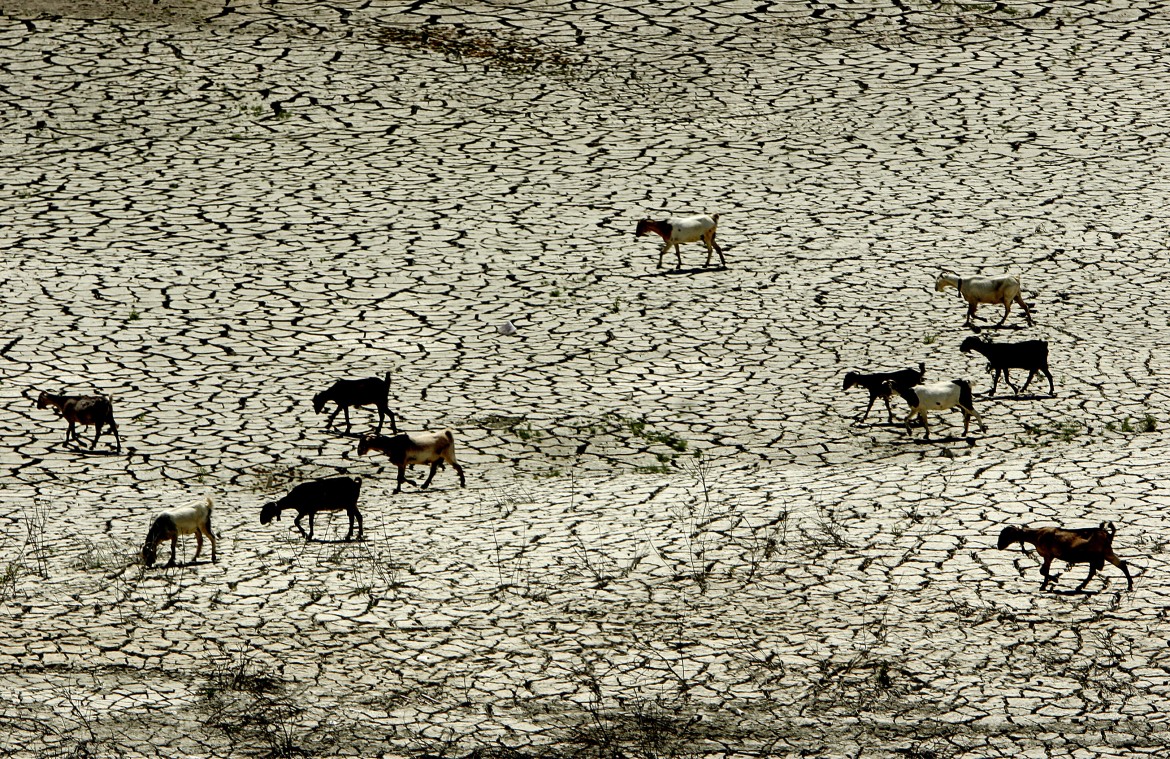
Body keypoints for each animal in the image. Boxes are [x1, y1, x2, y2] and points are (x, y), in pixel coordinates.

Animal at [996, 521, 1132, 591]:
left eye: (1005, 535)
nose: (998, 546)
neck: (1036, 535)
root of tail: (1107, 534)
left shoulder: (1048, 555)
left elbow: (1043, 571)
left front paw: (1054, 580)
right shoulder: (1048, 556)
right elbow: (1044, 571)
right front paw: (1044, 585)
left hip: (1104, 553)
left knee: (1117, 566)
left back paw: (1129, 585)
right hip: (1102, 554)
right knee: (1116, 566)